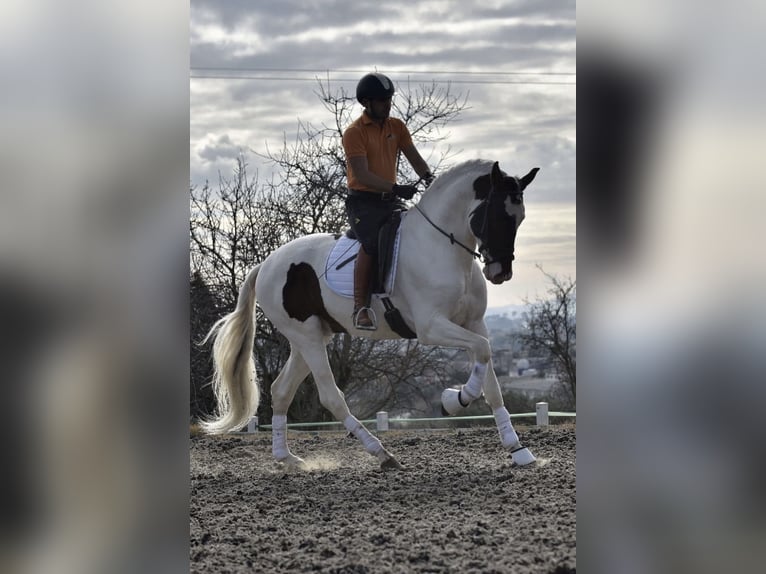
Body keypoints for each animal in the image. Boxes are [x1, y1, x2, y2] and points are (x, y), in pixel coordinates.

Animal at [200, 159, 540, 470]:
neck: (443, 246)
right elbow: (482, 353)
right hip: (307, 338)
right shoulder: (432, 327)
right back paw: (381, 453)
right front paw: (454, 400)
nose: (500, 273)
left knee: (281, 390)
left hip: (311, 336)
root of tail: (265, 265)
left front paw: (517, 448)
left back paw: (287, 458)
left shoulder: (474, 324)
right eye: (496, 215)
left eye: (520, 218)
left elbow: (491, 377)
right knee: (330, 395)